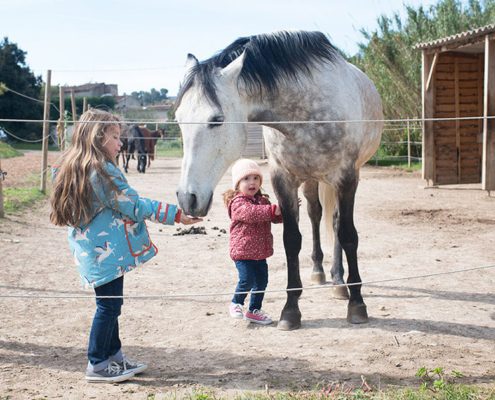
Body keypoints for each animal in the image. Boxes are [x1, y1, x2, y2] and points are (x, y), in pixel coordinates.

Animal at [176, 31, 386, 330]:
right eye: (179, 119)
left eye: (216, 119)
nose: (187, 198)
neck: (305, 113)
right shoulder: (283, 179)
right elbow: (291, 240)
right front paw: (291, 310)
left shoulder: (347, 178)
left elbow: (347, 235)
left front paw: (357, 304)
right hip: (311, 180)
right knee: (315, 214)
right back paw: (320, 271)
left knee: (334, 222)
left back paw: (338, 281)